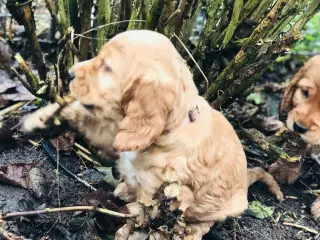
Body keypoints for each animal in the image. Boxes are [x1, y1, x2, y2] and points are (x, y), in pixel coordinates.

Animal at [21, 29, 282, 238]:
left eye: (107, 68)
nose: (69, 73)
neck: (172, 129)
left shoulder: (158, 193)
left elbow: (141, 216)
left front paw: (126, 232)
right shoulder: (114, 133)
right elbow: (84, 115)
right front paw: (40, 119)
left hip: (221, 207)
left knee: (204, 222)